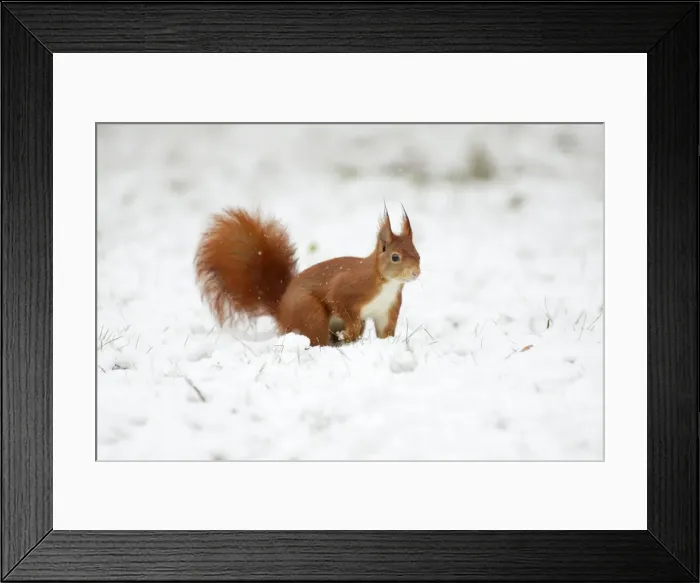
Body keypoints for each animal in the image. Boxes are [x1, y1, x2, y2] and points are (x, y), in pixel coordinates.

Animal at [194, 205, 421, 347]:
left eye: (417, 253)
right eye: (395, 257)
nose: (416, 272)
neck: (388, 284)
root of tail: (281, 311)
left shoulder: (387, 309)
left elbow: (385, 331)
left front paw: (387, 343)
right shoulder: (347, 289)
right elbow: (341, 304)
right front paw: (349, 333)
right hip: (309, 312)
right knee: (316, 336)